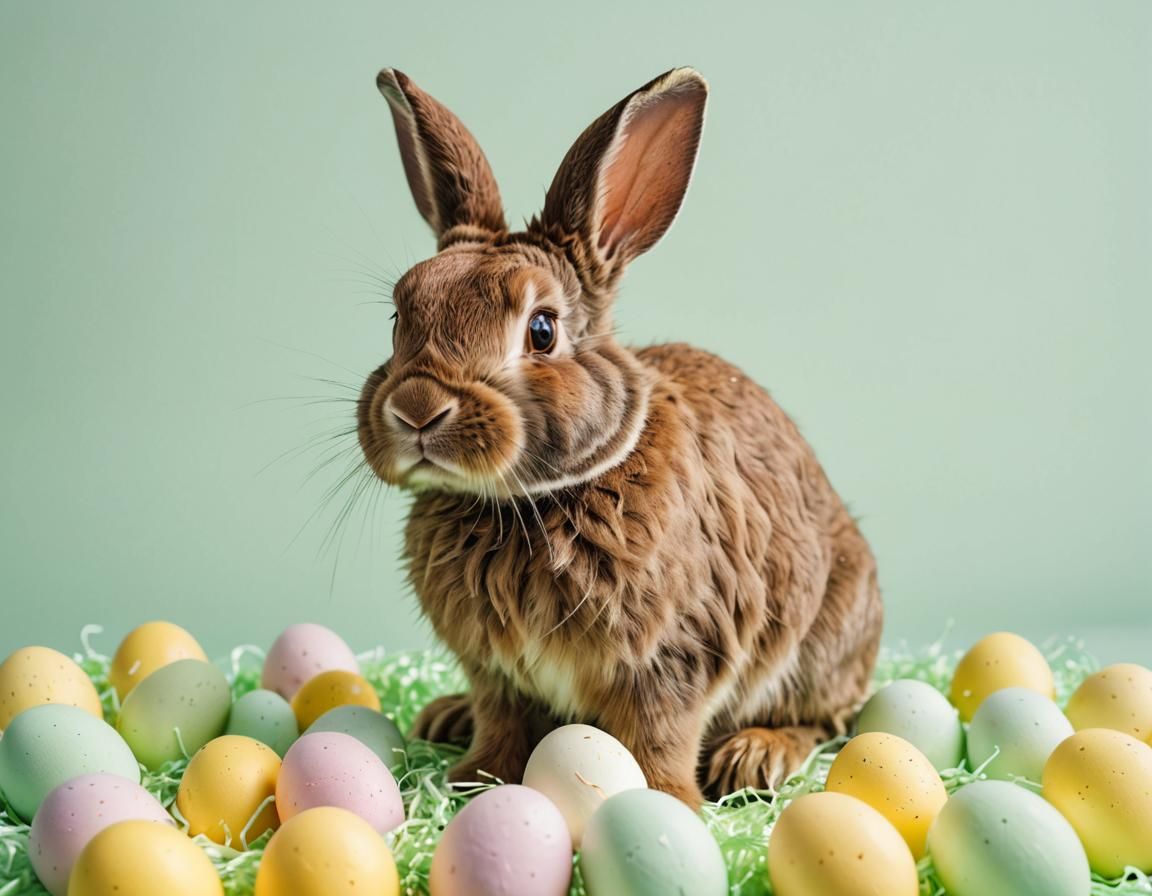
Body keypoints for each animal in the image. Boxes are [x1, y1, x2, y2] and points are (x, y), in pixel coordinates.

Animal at [357, 65, 883, 807]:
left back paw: (757, 756)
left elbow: (657, 737)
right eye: (399, 318)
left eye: (541, 329)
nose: (416, 408)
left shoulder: (671, 658)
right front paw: (473, 780)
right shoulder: (497, 674)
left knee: (826, 719)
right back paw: (447, 718)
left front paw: (666, 801)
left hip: (823, 641)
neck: (528, 503)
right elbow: (501, 722)